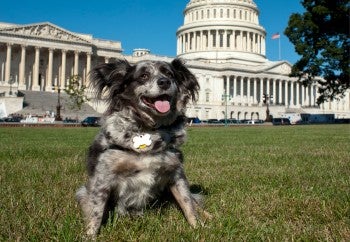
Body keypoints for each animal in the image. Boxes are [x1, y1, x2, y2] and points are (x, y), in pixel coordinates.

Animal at [76, 58, 211, 236]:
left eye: (169, 74)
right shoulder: (103, 178)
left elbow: (187, 204)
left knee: (194, 201)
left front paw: (198, 227)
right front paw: (90, 235)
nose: (164, 82)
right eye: (143, 76)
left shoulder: (176, 174)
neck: (148, 129)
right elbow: (96, 213)